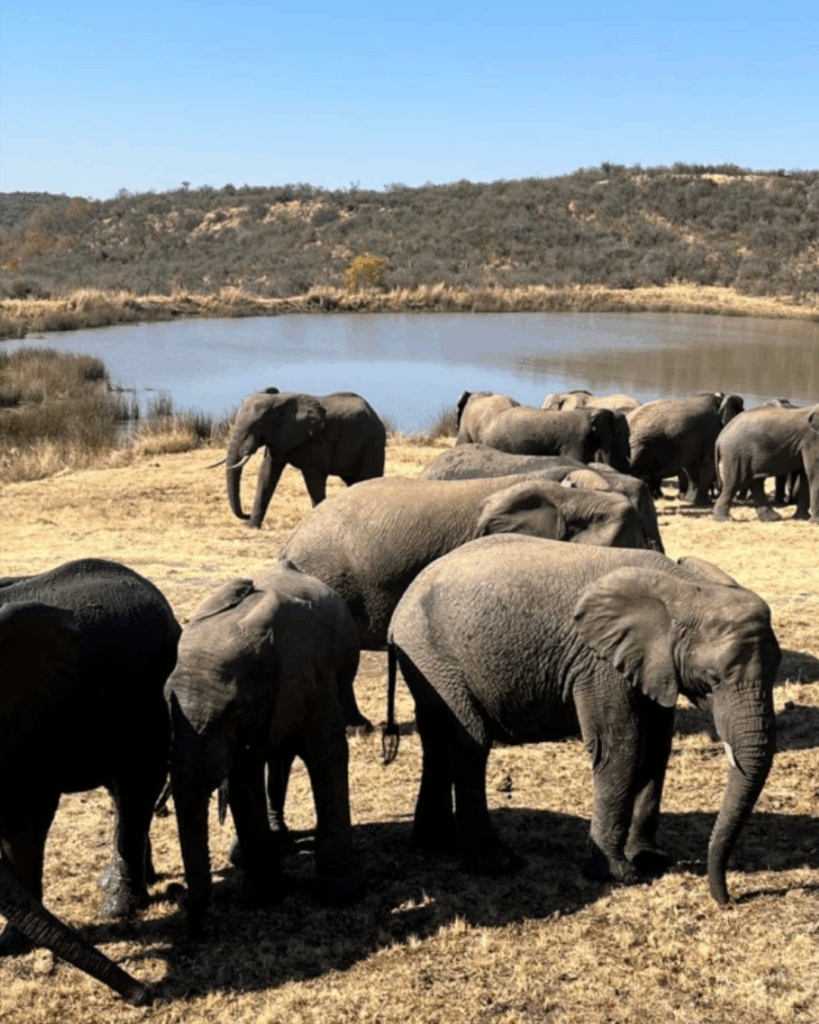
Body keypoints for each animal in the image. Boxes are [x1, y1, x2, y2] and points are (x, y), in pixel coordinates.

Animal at [165, 561, 362, 937]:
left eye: (233, 711)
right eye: (166, 699)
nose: (174, 891)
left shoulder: (311, 675)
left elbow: (327, 758)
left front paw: (338, 897)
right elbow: (243, 778)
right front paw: (262, 897)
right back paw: (250, 851)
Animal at [219, 388, 387, 528]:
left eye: (258, 424)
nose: (246, 515)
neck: (279, 400)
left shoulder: (317, 439)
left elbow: (314, 479)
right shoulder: (277, 439)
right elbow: (267, 474)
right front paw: (252, 527)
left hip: (373, 444)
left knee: (368, 479)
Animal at [383, 534, 780, 905]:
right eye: (713, 679)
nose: (727, 899)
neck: (683, 589)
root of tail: (400, 610)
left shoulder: (653, 666)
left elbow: (656, 746)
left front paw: (650, 859)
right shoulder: (600, 664)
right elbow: (620, 747)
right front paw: (618, 875)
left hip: (428, 664)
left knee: (436, 741)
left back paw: (435, 845)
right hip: (437, 658)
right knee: (470, 744)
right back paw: (496, 864)